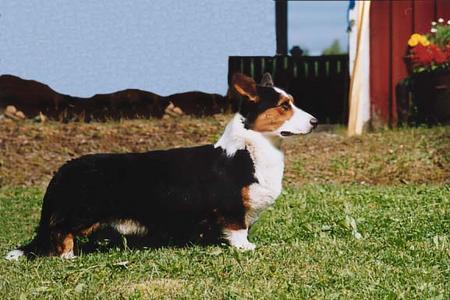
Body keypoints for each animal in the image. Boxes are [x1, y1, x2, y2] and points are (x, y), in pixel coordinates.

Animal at [6, 72, 316, 260]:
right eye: (284, 106)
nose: (315, 121)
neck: (250, 149)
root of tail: (63, 170)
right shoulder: (233, 210)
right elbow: (238, 231)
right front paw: (247, 248)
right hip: (83, 213)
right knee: (59, 231)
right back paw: (69, 256)